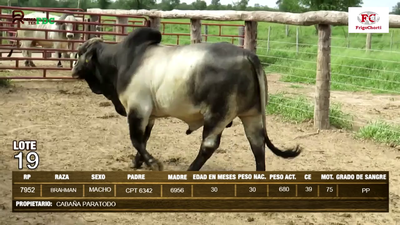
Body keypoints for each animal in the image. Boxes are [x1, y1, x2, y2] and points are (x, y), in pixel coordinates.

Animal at [70, 26, 302, 171]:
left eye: (80, 54)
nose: (73, 70)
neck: (121, 62)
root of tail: (248, 55)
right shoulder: (149, 115)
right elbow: (143, 139)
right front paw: (137, 162)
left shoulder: (137, 108)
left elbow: (136, 139)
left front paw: (153, 163)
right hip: (251, 115)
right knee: (257, 145)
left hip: (218, 115)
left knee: (209, 145)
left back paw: (191, 170)